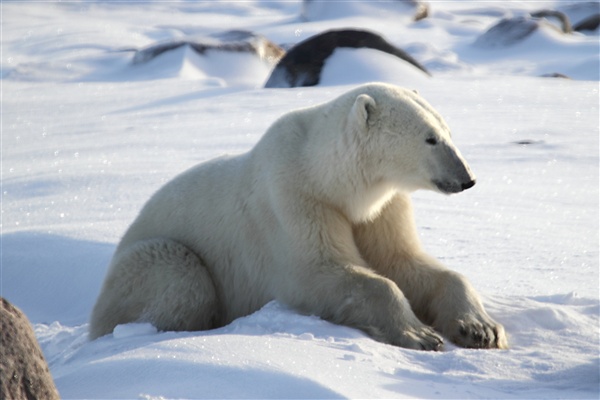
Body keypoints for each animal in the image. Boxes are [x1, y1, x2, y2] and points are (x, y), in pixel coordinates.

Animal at [91, 82, 508, 350]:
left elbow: (403, 262)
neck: (328, 175)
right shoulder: (295, 199)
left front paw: (480, 329)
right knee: (180, 274)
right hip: (146, 262)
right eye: (430, 138)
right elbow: (320, 271)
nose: (467, 178)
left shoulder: (381, 210)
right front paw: (420, 334)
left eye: (448, 131)